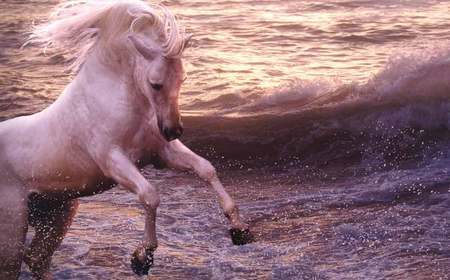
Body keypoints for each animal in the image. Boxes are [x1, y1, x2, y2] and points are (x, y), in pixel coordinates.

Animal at [0, 1, 251, 278]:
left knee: (37, 258)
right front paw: (143, 257)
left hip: (58, 213)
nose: (173, 130)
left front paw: (239, 229)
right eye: (155, 84)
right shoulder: (113, 161)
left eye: (182, 79)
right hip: (13, 226)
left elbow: (206, 169)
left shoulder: (162, 154)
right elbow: (150, 195)